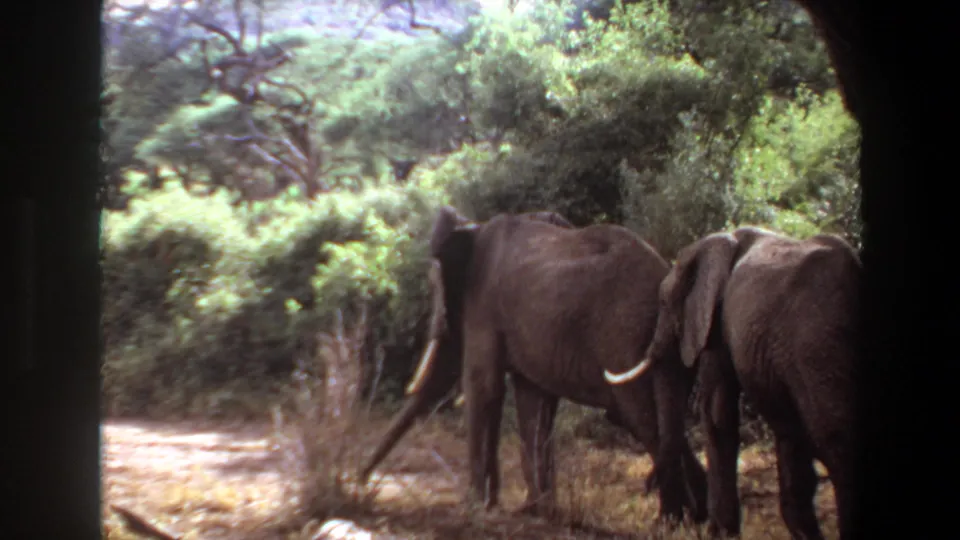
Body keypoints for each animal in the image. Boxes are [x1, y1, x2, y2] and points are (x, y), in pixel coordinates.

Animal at [359, 205, 709, 524]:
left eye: (438, 291)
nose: (359, 482)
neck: (474, 226)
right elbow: (531, 400)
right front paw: (532, 510)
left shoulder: (483, 307)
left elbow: (484, 387)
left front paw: (475, 505)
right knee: (660, 424)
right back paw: (694, 519)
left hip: (626, 337)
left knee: (641, 417)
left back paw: (672, 521)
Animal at [603, 226, 861, 540]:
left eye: (664, 302)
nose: (646, 488)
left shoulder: (718, 319)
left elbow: (717, 412)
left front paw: (719, 533)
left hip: (816, 346)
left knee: (836, 442)